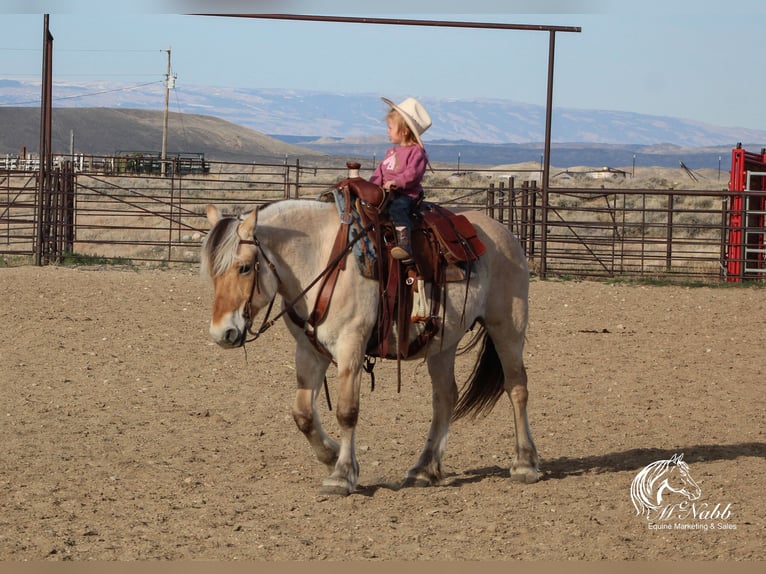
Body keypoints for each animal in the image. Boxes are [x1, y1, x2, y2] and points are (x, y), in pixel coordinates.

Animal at [202, 189, 540, 496]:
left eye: (244, 267)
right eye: (212, 272)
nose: (222, 334)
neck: (321, 258)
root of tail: (504, 234)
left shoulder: (351, 345)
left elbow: (346, 411)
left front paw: (342, 474)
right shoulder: (309, 351)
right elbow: (303, 414)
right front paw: (330, 455)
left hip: (508, 327)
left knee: (517, 386)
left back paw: (525, 463)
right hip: (442, 343)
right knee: (445, 397)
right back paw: (424, 468)